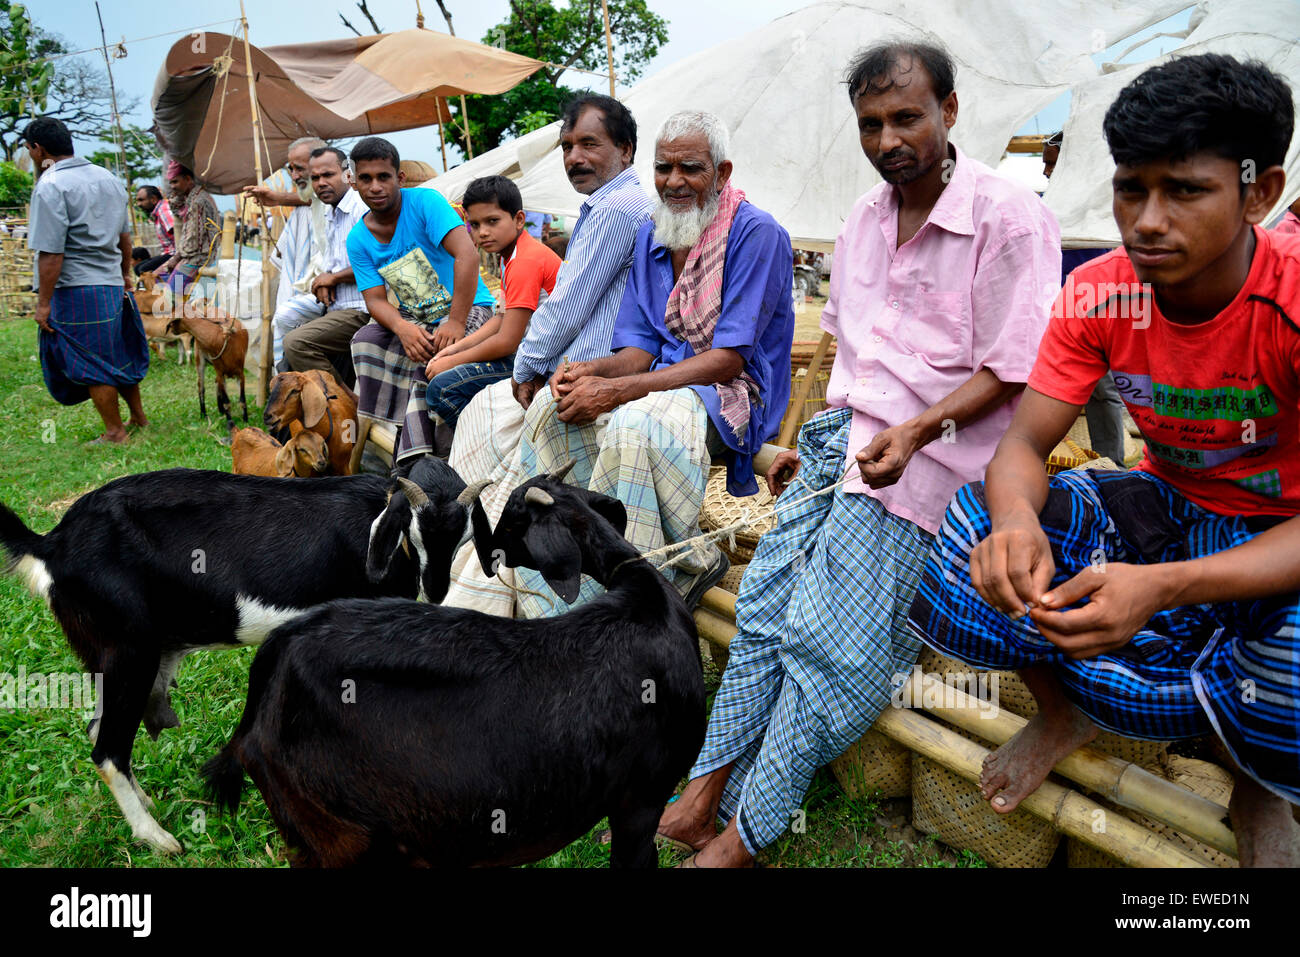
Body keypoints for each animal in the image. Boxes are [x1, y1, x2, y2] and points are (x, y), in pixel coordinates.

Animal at [0, 460, 473, 858]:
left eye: (465, 537)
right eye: (412, 531)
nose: (436, 589)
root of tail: (52, 544)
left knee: (101, 728)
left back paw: (148, 804)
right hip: (128, 650)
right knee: (107, 749)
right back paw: (157, 837)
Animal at [205, 468, 712, 863]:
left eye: (514, 516)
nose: (493, 554)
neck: (643, 593)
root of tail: (277, 657)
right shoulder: (642, 802)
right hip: (340, 838)